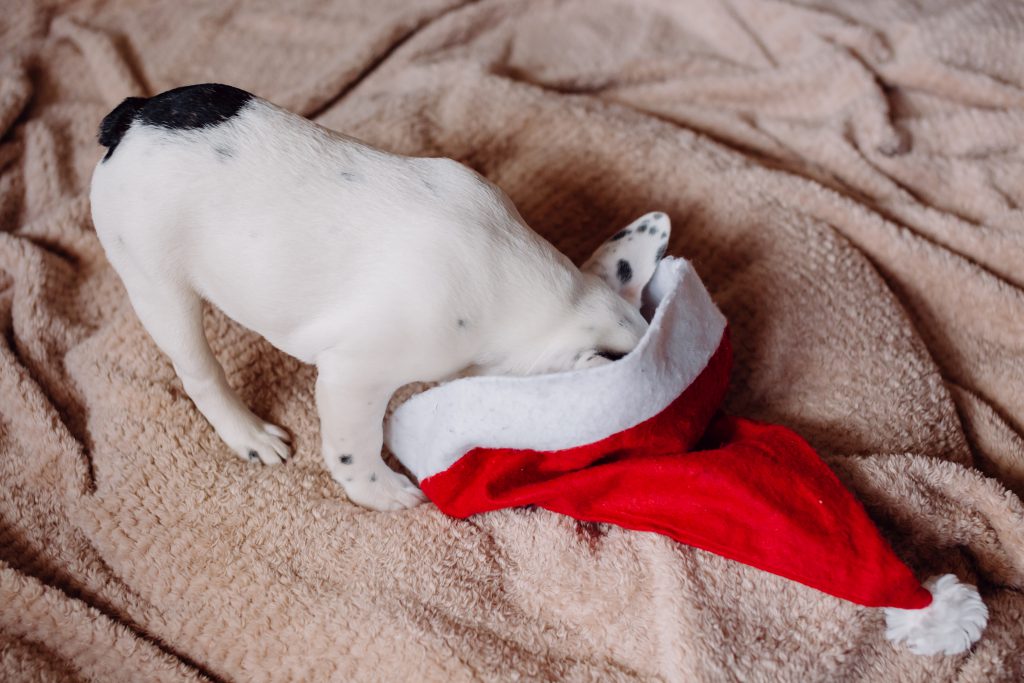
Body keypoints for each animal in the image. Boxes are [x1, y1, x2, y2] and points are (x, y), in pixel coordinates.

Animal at [90, 83, 671, 507]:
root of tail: (132, 119)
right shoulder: (355, 376)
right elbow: (355, 446)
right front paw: (382, 493)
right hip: (156, 282)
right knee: (199, 370)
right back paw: (249, 435)